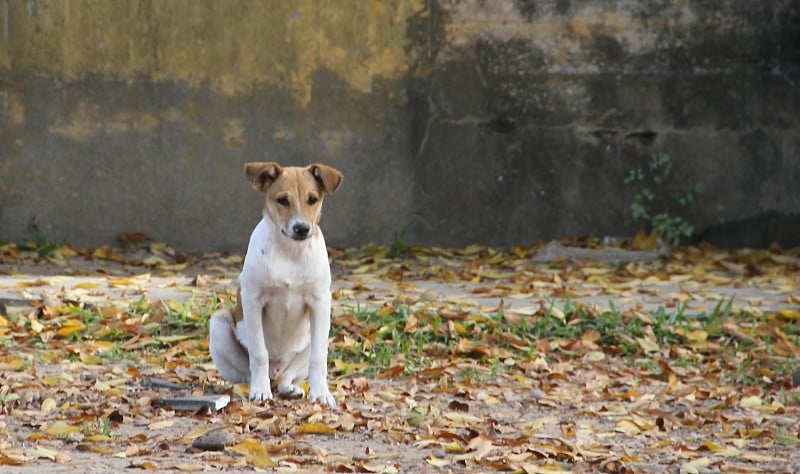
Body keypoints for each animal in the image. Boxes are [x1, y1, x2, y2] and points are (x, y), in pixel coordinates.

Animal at [208, 162, 342, 408]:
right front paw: (260, 391)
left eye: (312, 199)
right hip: (219, 324)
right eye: (282, 200)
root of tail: (276, 371)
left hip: (312, 337)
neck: (290, 253)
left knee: (286, 378)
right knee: (247, 374)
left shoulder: (320, 303)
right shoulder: (253, 302)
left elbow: (319, 358)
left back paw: (290, 389)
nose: (301, 228)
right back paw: (254, 386)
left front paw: (321, 393)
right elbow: (259, 354)